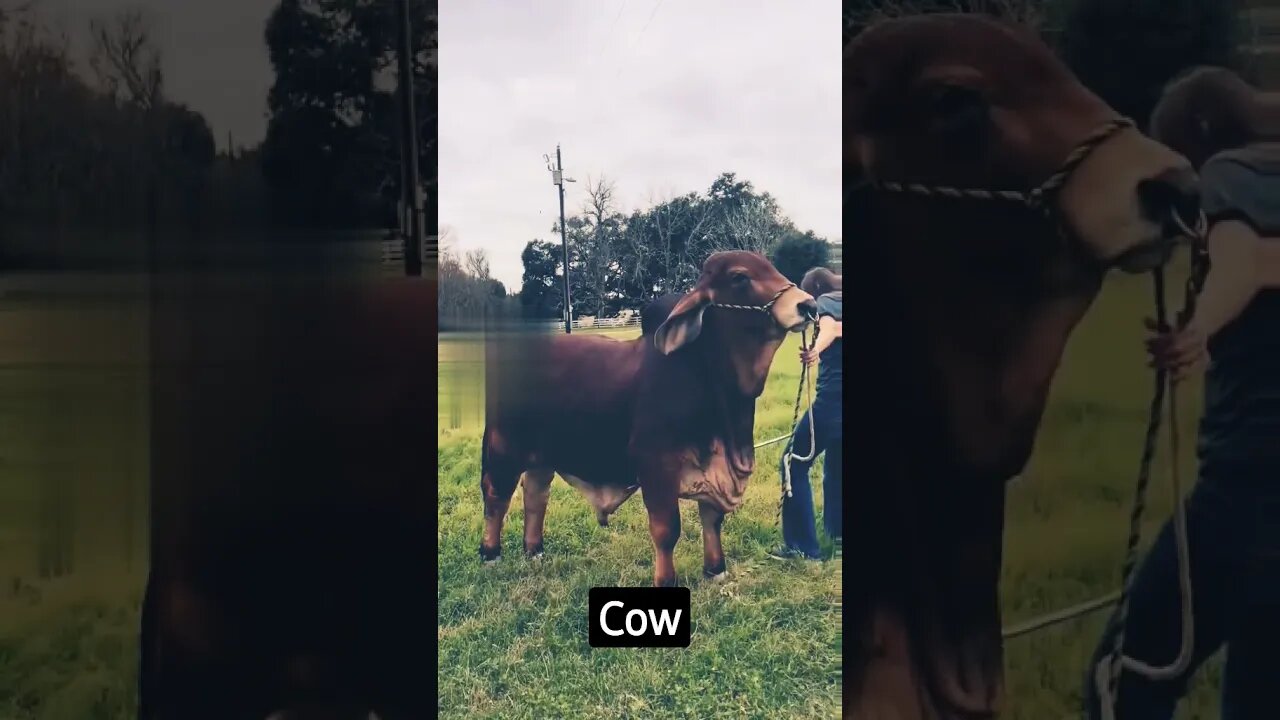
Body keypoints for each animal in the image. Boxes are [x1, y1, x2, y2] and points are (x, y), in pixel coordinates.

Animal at [479, 250, 816, 587]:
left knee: (536, 493)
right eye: (740, 277)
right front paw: (666, 580)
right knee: (497, 495)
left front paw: (715, 569)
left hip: (544, 453)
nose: (809, 305)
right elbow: (667, 530)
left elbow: (712, 519)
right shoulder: (656, 465)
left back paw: (534, 550)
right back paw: (490, 553)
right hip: (503, 446)